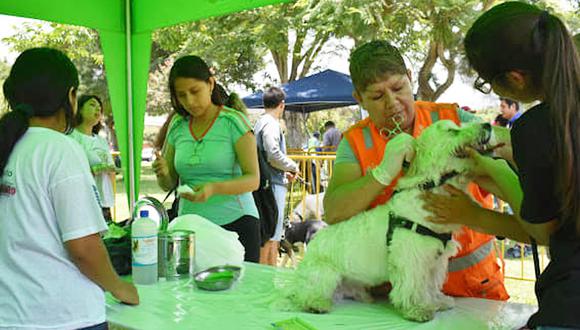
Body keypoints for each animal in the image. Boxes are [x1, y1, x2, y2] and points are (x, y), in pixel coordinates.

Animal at [280, 120, 494, 322]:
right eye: (452, 131)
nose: (487, 125)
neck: (431, 187)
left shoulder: (435, 260)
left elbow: (430, 285)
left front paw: (437, 302)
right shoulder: (412, 258)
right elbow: (413, 286)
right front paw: (418, 309)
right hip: (323, 275)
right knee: (306, 294)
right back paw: (316, 303)